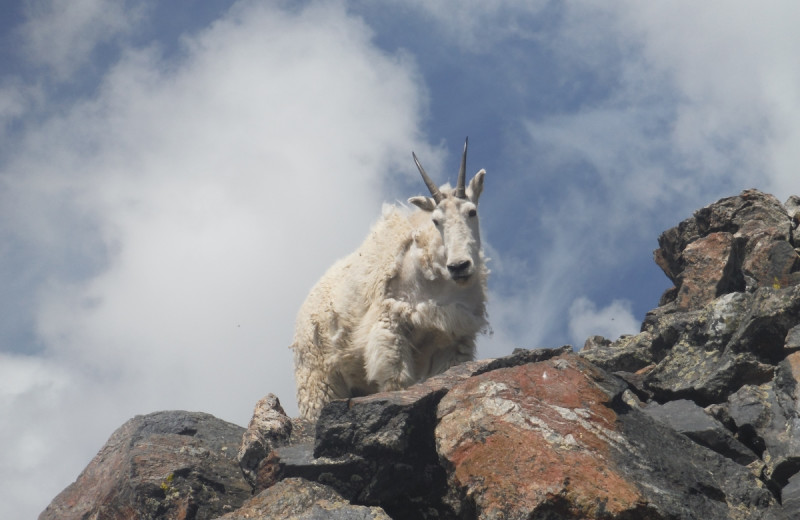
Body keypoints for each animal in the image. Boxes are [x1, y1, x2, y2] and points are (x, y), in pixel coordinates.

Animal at [290, 137, 488, 418]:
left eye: (472, 212)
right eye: (436, 221)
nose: (459, 266)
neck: (437, 282)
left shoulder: (453, 335)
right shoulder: (389, 325)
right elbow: (396, 381)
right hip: (319, 375)